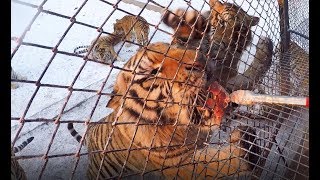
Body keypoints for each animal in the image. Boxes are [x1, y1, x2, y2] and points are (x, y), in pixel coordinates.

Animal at [67, 41, 260, 179]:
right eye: (153, 72)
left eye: (174, 47)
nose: (200, 60)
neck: (187, 130)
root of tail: (91, 130)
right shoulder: (177, 165)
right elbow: (213, 164)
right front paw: (247, 148)